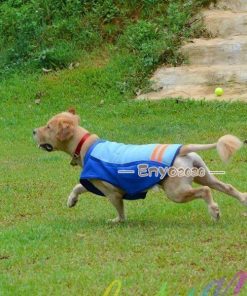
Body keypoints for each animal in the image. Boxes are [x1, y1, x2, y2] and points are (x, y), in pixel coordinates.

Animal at [33, 108, 247, 222]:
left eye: (48, 127)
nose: (33, 131)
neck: (85, 145)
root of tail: (182, 149)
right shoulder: (95, 183)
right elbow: (78, 186)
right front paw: (71, 200)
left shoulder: (111, 191)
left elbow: (120, 211)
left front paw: (116, 220)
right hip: (203, 174)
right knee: (226, 186)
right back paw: (243, 199)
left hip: (176, 191)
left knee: (205, 191)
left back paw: (214, 211)